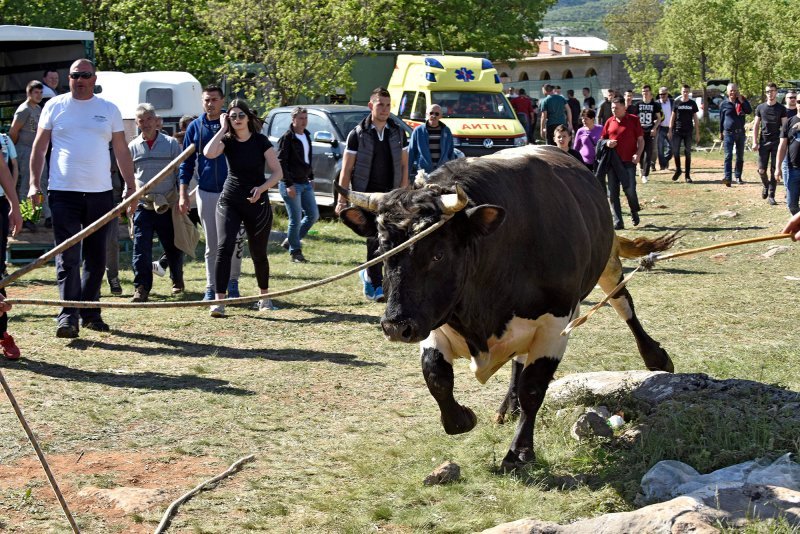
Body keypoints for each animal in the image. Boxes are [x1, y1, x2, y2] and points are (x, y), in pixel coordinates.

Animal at [338, 147, 676, 474]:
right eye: (382, 251)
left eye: (438, 254)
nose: (396, 326)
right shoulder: (436, 319)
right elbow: (435, 374)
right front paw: (462, 418)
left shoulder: (554, 324)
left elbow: (533, 388)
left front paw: (519, 452)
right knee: (519, 359)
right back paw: (508, 407)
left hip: (608, 263)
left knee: (624, 305)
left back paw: (656, 358)